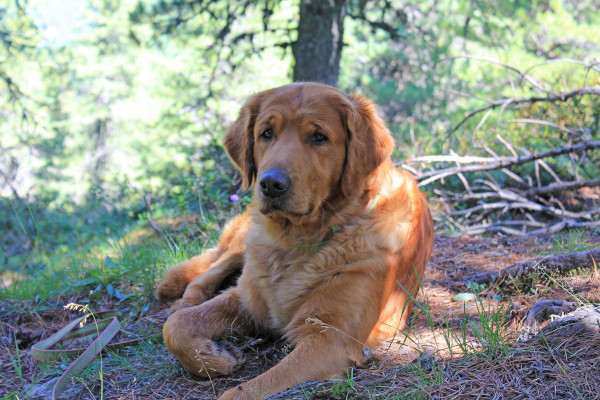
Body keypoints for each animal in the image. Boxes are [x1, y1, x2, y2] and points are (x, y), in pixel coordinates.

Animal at [156, 83, 434, 400]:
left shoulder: (329, 339)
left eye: (319, 137)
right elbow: (176, 326)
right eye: (266, 133)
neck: (296, 244)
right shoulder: (248, 300)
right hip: (246, 240)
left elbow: (241, 392)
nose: (271, 184)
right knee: (205, 275)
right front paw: (214, 357)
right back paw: (182, 299)